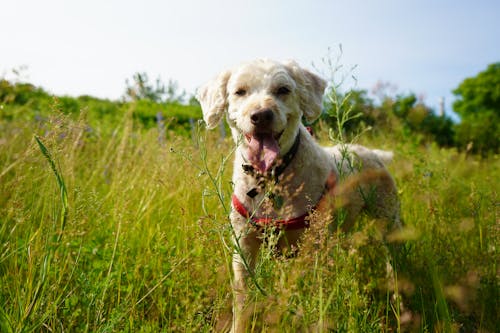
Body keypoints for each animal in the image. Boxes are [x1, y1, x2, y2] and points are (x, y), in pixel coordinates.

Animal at [196, 58, 402, 330]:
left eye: (283, 89)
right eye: (240, 91)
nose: (261, 115)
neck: (272, 179)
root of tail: (376, 155)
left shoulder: (311, 247)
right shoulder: (244, 246)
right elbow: (241, 300)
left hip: (388, 220)